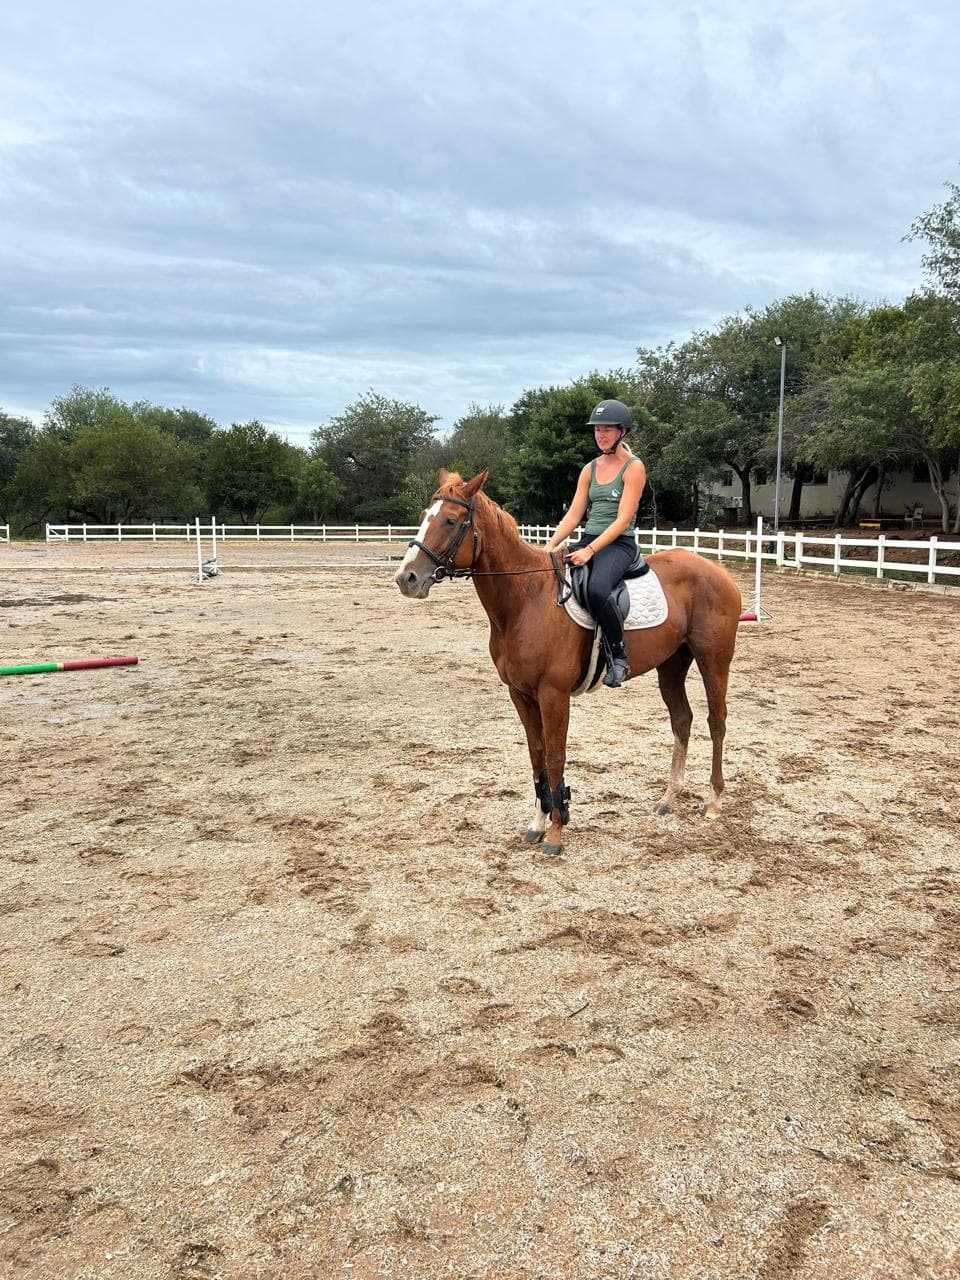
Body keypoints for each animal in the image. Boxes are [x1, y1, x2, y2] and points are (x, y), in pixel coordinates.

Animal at [394, 469, 742, 855]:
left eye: (451, 521)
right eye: (425, 516)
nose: (406, 578)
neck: (526, 601)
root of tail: (718, 570)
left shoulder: (553, 695)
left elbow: (555, 756)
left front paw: (556, 832)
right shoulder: (520, 694)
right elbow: (537, 754)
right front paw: (537, 823)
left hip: (713, 661)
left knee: (716, 722)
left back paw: (713, 801)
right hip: (671, 664)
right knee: (682, 720)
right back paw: (668, 798)